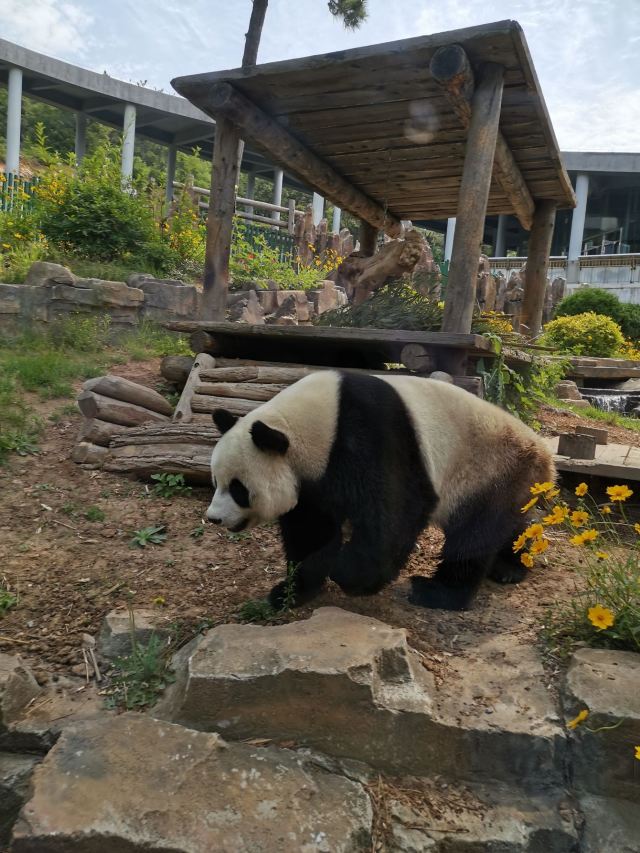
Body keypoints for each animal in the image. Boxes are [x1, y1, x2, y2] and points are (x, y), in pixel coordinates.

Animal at [206, 370, 556, 608]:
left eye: (238, 489)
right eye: (215, 482)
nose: (213, 518)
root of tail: (545, 456)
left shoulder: (370, 434)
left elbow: (396, 510)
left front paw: (350, 574)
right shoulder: (311, 481)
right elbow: (311, 530)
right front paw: (290, 591)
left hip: (493, 467)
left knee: (474, 534)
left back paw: (436, 590)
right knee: (511, 525)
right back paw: (510, 567)